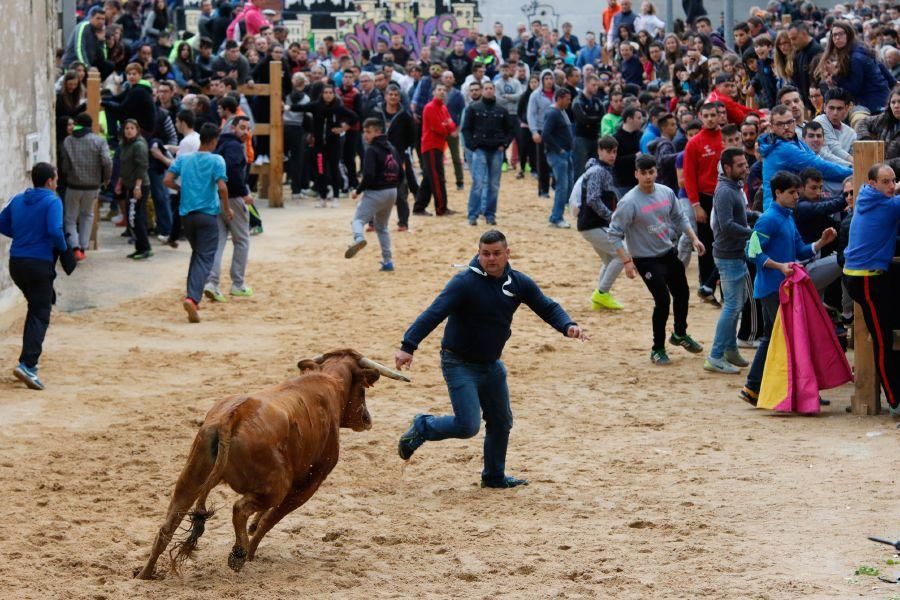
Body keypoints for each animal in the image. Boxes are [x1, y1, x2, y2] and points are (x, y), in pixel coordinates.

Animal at [134, 350, 408, 580]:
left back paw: (146, 574)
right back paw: (239, 554)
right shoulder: (310, 482)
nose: (367, 419)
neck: (328, 382)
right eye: (363, 389)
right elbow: (272, 518)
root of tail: (232, 417)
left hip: (191, 478)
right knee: (240, 508)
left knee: (168, 525)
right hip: (276, 485)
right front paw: (251, 549)